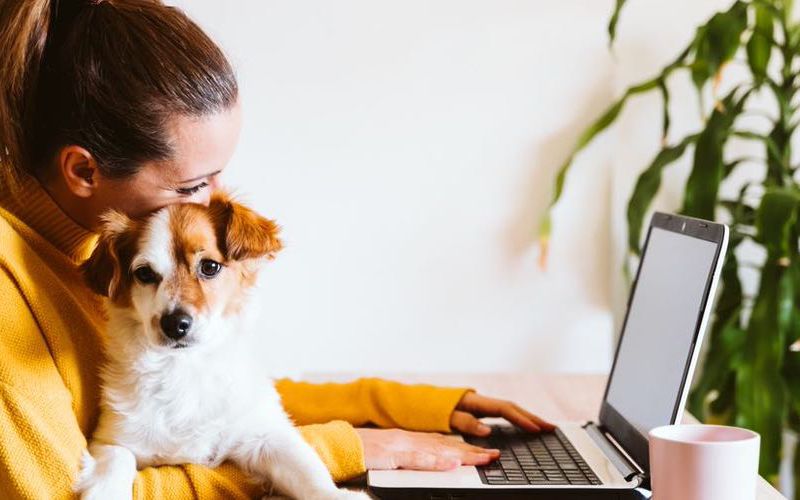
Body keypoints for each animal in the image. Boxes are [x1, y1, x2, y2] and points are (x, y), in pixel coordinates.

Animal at [73, 194, 368, 500]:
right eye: (144, 274)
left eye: (210, 267)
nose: (175, 324)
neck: (185, 369)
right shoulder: (112, 438)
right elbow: (116, 461)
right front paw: (106, 491)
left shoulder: (265, 435)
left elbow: (307, 469)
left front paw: (337, 494)